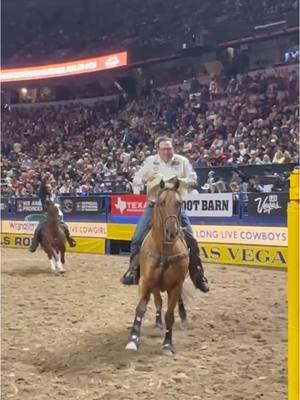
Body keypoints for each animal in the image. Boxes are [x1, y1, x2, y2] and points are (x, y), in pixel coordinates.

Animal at [126, 180, 190, 354]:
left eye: (179, 203)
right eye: (161, 203)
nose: (172, 232)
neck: (164, 252)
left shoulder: (176, 285)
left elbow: (170, 314)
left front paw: (167, 344)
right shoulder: (146, 282)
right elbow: (140, 309)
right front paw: (133, 340)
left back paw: (182, 317)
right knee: (158, 302)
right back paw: (157, 323)